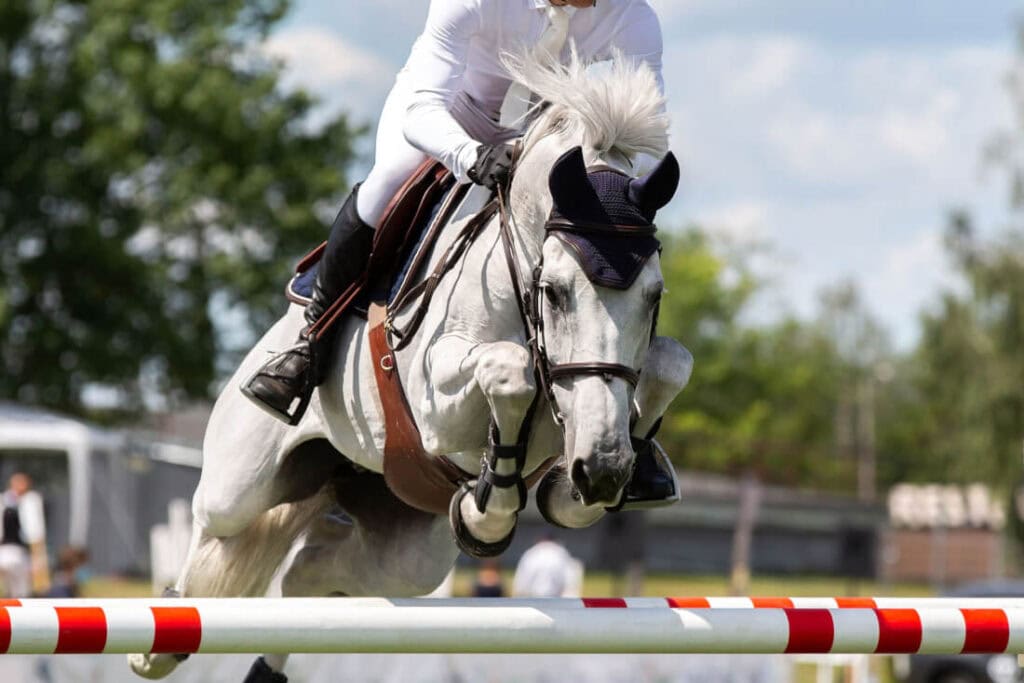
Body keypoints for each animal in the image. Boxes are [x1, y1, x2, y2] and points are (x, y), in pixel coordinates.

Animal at [129, 48, 694, 681]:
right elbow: (510, 370)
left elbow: (670, 361)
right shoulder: (435, 405)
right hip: (243, 480)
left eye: (655, 295)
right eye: (554, 291)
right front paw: (490, 506)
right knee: (213, 528)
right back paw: (162, 634)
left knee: (312, 575)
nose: (602, 470)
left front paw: (604, 476)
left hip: (405, 545)